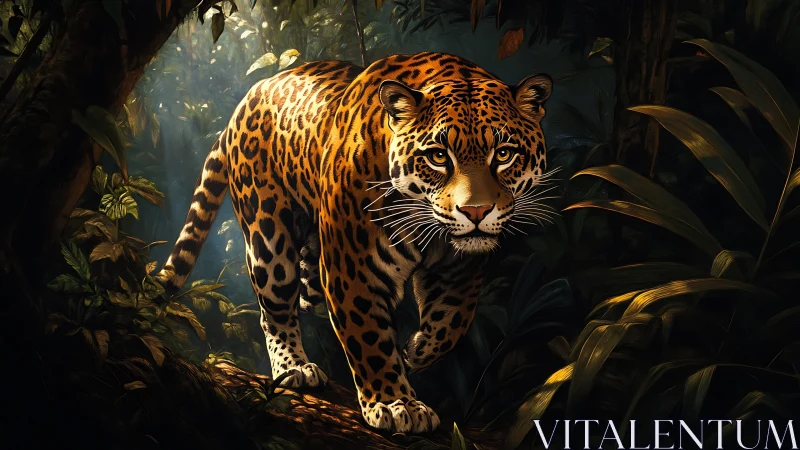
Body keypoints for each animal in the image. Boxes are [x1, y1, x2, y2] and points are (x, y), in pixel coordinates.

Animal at [155, 52, 553, 434]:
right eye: (439, 157)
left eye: (504, 154)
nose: (476, 211)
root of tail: (247, 98)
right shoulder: (354, 269)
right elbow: (369, 338)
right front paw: (395, 404)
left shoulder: (461, 269)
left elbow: (453, 320)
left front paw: (417, 351)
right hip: (269, 239)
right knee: (275, 308)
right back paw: (294, 368)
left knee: (306, 291)